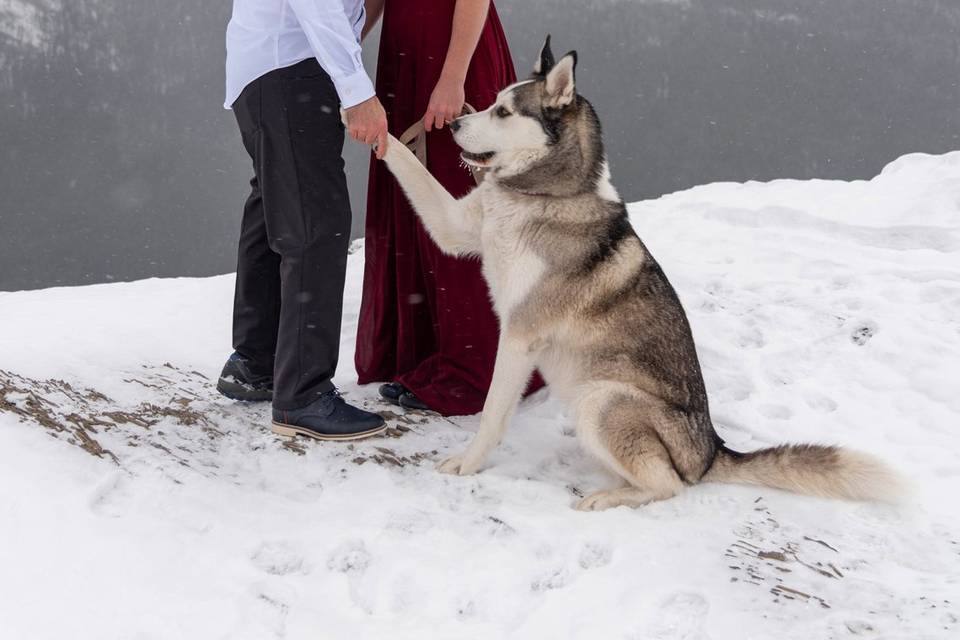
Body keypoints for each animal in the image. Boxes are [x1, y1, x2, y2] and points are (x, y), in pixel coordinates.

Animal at [378, 38, 904, 510]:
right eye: (490, 103)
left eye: (504, 113)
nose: (453, 124)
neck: (544, 197)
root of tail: (711, 452)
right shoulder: (455, 227)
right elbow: (407, 165)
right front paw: (376, 128)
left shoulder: (521, 334)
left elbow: (491, 414)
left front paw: (467, 464)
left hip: (602, 398)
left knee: (668, 484)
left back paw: (606, 498)